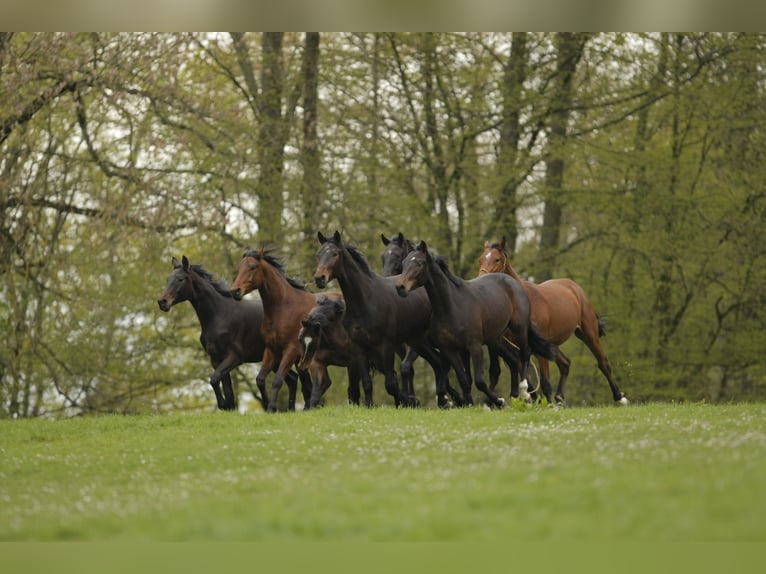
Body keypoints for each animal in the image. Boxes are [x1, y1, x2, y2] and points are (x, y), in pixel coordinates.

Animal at [156, 256, 302, 412]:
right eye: (168, 279)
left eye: (180, 279)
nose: (162, 302)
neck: (220, 314)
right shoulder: (216, 360)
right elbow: (226, 389)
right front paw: (227, 407)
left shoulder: (234, 357)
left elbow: (214, 379)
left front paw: (223, 405)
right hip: (276, 358)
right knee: (293, 379)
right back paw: (291, 409)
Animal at [230, 248, 342, 412]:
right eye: (238, 268)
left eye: (252, 267)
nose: (235, 291)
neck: (284, 307)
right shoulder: (271, 350)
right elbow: (260, 379)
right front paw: (268, 407)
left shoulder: (291, 351)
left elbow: (277, 380)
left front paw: (272, 408)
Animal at [314, 230, 457, 408]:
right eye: (319, 254)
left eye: (334, 253)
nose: (319, 278)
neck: (365, 300)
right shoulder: (359, 347)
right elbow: (367, 382)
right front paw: (370, 405)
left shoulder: (386, 346)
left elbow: (391, 383)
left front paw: (407, 401)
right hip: (418, 341)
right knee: (439, 363)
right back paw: (445, 399)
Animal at [396, 241, 557, 407]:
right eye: (404, 263)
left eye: (419, 263)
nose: (400, 287)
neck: (452, 306)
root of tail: (514, 282)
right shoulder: (449, 349)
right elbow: (463, 379)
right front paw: (469, 403)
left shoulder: (474, 346)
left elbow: (479, 381)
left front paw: (498, 400)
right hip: (495, 339)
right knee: (513, 359)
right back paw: (514, 395)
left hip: (519, 329)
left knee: (525, 354)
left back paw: (524, 392)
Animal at [479, 238, 628, 405]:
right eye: (481, 259)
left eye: (497, 259)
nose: (480, 278)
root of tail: (576, 288)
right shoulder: (520, 347)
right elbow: (523, 373)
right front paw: (532, 398)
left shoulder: (537, 349)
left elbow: (544, 381)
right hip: (552, 344)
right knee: (565, 363)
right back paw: (559, 398)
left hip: (588, 334)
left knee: (603, 362)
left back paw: (619, 397)